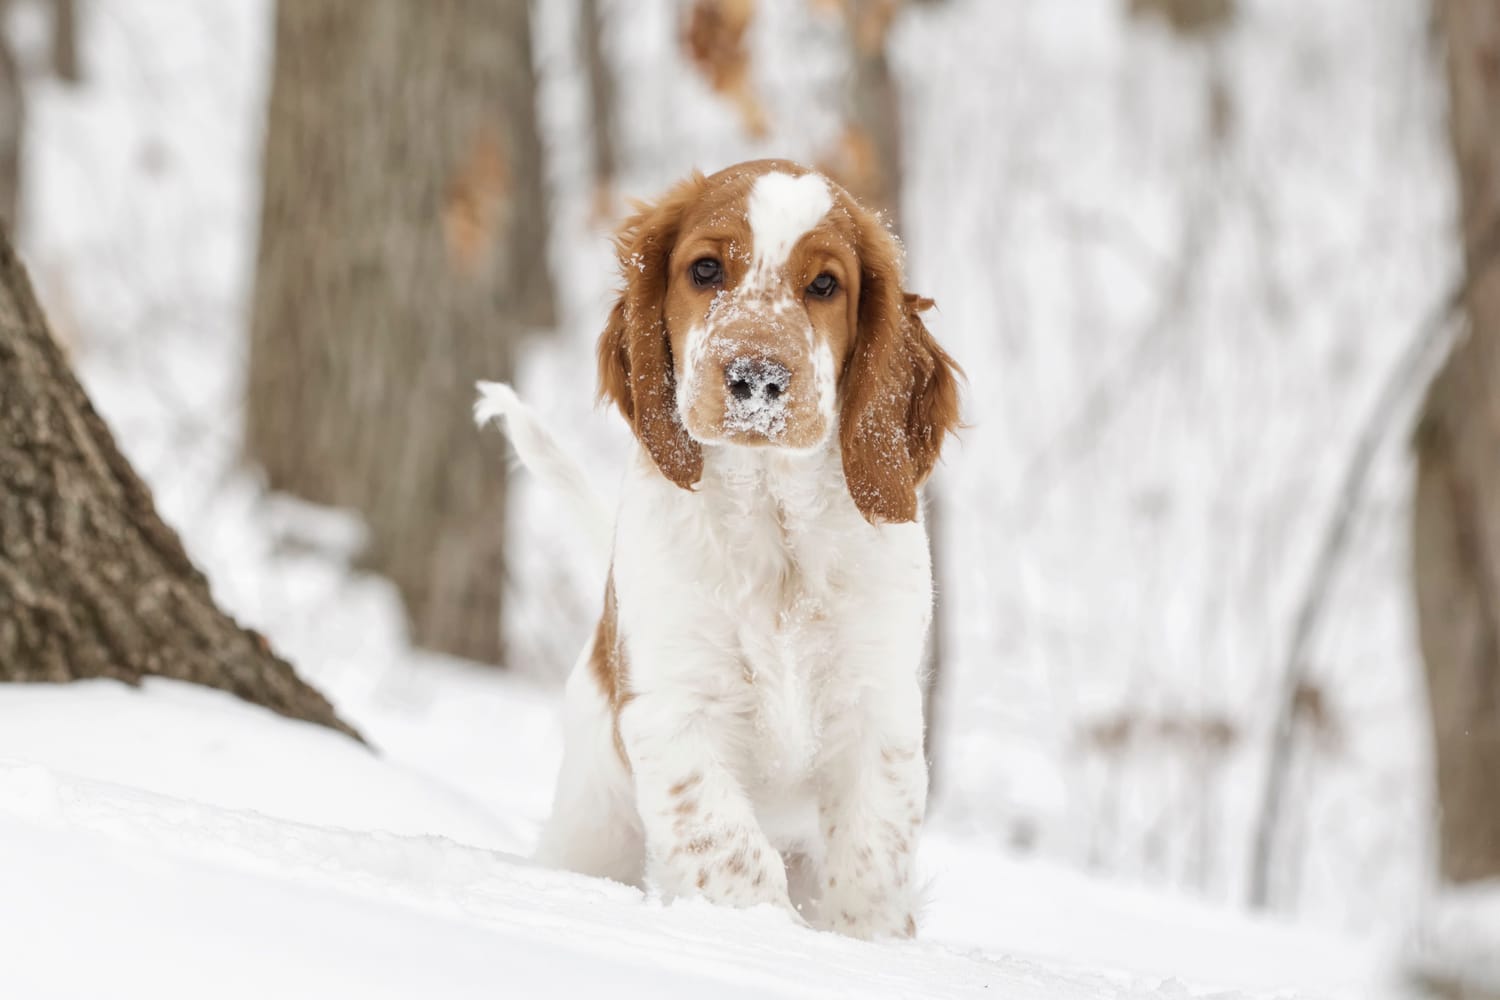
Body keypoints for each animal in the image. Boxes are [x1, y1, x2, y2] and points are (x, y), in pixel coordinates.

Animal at [480, 158, 960, 941]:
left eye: (824, 285)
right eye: (705, 269)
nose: (757, 379)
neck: (773, 522)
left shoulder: (878, 712)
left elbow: (871, 860)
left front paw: (866, 945)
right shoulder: (673, 710)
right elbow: (729, 846)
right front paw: (765, 936)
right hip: (594, 821)